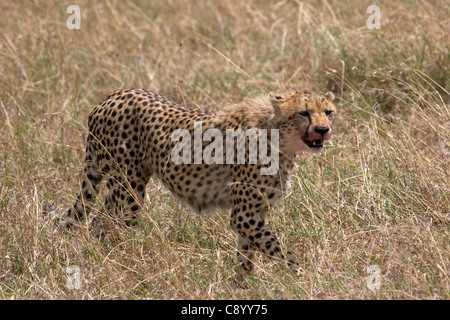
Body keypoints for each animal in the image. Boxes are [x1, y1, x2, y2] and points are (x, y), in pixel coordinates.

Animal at [52, 89, 336, 274]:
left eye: (329, 112)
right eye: (303, 113)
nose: (324, 130)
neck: (277, 136)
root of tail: (110, 97)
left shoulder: (253, 213)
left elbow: (247, 252)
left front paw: (242, 285)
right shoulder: (244, 214)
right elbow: (278, 249)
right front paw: (301, 278)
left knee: (99, 223)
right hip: (128, 190)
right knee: (116, 227)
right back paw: (127, 267)